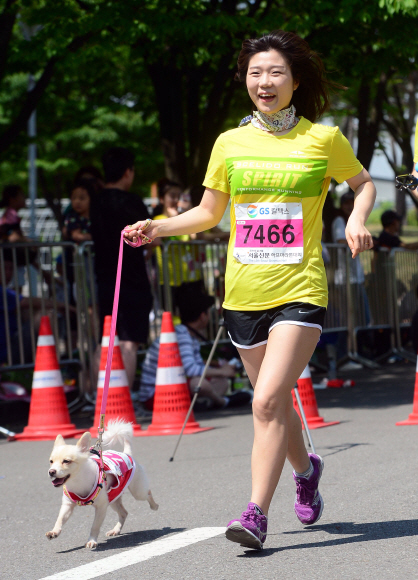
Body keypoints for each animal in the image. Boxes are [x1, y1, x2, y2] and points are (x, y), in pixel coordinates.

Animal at [45, 416, 158, 548]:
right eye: (51, 461)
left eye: (66, 461)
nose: (51, 471)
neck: (78, 482)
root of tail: (126, 453)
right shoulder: (67, 505)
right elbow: (60, 519)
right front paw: (54, 531)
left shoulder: (101, 507)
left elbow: (95, 526)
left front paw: (91, 541)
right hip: (113, 497)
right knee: (124, 513)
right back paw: (115, 530)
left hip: (137, 491)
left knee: (147, 493)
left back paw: (154, 506)